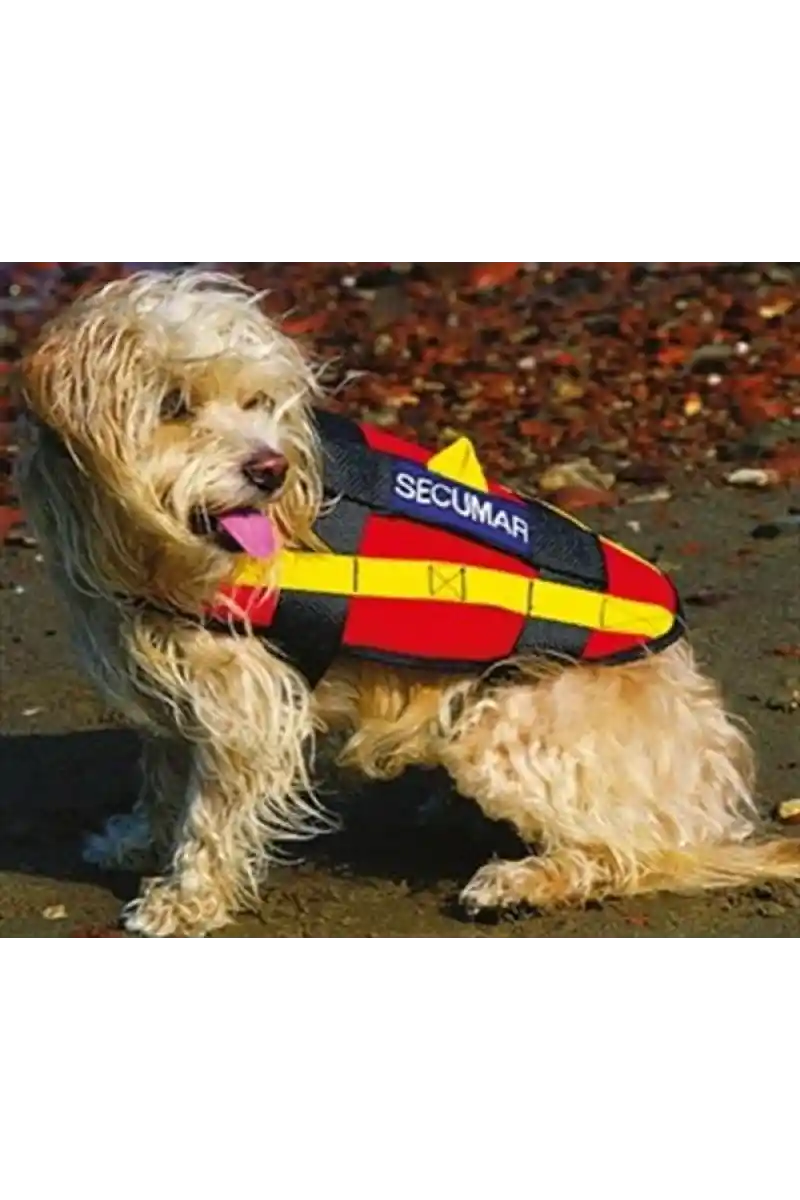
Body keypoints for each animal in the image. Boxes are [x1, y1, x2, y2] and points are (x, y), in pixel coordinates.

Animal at [15, 269, 800, 939]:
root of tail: (709, 785)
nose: (271, 469)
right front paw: (136, 838)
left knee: (627, 855)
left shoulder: (245, 708)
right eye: (174, 406)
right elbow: (162, 772)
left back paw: (519, 880)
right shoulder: (171, 686)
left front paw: (186, 899)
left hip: (502, 726)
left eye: (258, 403)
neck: (141, 541)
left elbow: (209, 816)